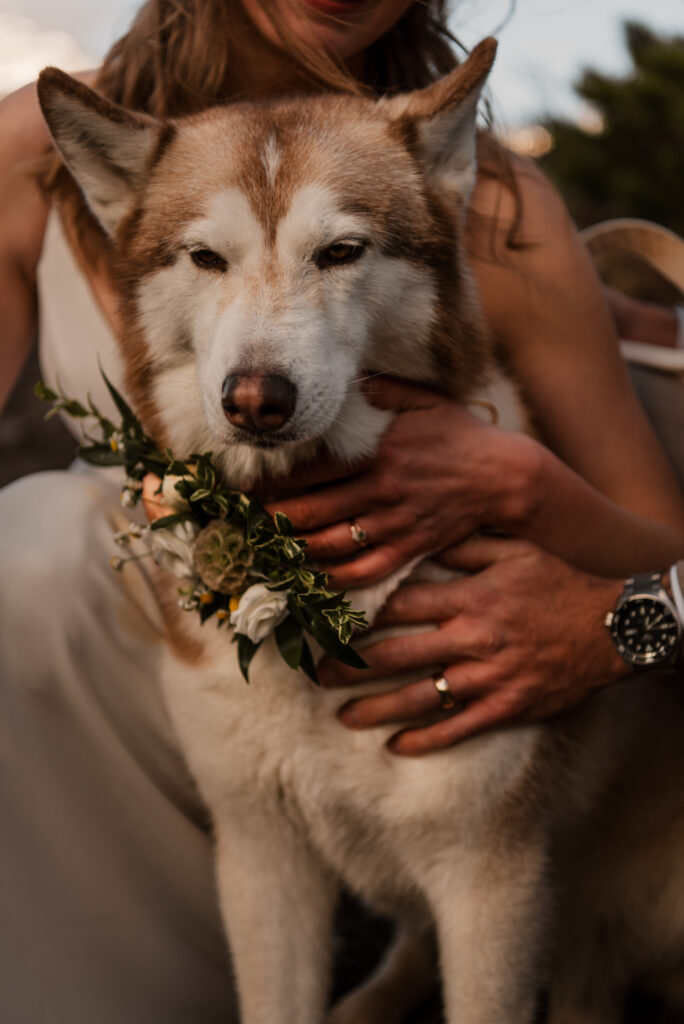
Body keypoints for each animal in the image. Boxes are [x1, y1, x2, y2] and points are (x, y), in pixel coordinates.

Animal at [38, 39, 684, 1024]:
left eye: (341, 252)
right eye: (206, 258)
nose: (256, 399)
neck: (309, 601)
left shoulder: (492, 885)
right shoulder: (261, 862)